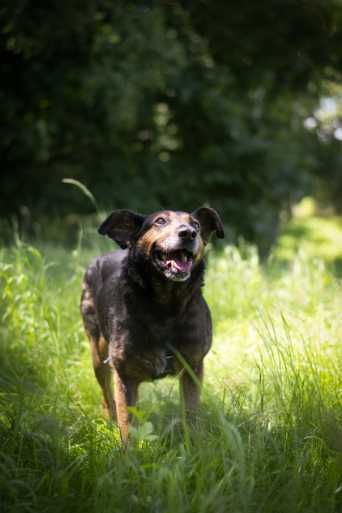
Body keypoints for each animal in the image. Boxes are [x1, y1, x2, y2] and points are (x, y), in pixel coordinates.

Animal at [80, 205, 224, 440]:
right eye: (160, 221)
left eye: (196, 224)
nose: (189, 233)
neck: (166, 306)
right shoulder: (125, 377)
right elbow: (127, 427)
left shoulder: (192, 368)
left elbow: (190, 416)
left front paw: (192, 444)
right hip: (98, 354)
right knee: (107, 396)